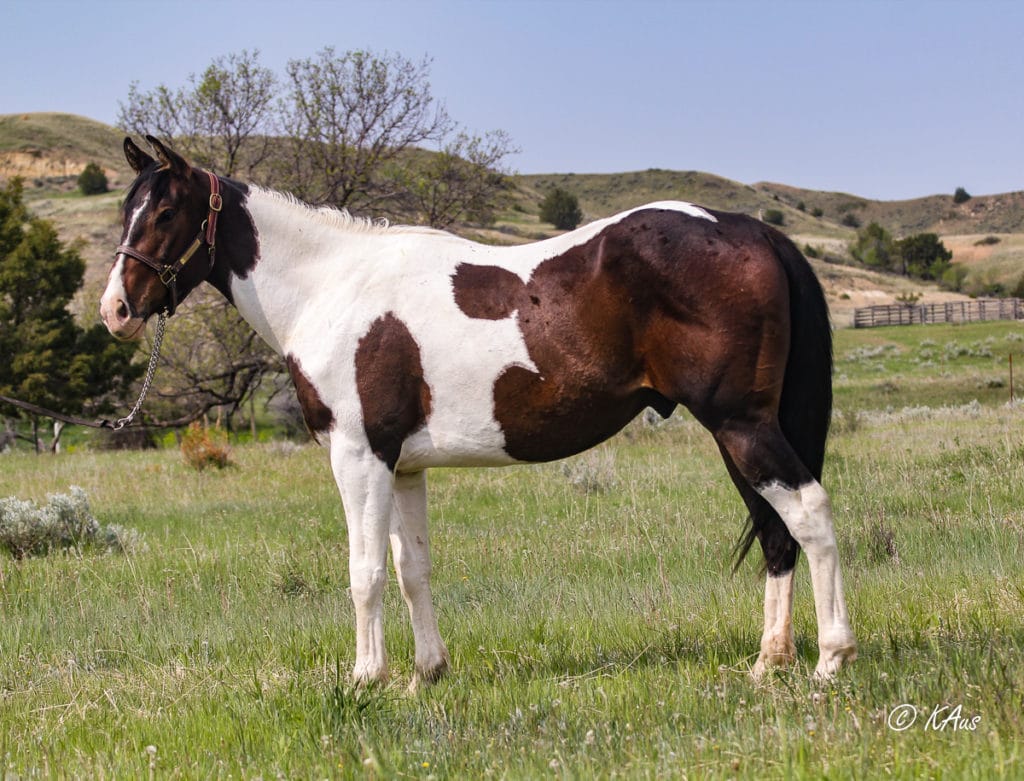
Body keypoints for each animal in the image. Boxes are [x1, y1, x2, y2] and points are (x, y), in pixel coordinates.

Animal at [101, 137, 856, 687]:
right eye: (126, 211)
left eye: (164, 215)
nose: (116, 310)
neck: (330, 286)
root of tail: (750, 229)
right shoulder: (402, 466)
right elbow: (412, 568)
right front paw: (425, 675)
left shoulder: (359, 456)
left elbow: (364, 572)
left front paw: (365, 679)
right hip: (739, 433)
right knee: (777, 533)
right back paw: (769, 663)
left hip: (740, 424)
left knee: (809, 512)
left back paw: (830, 660)